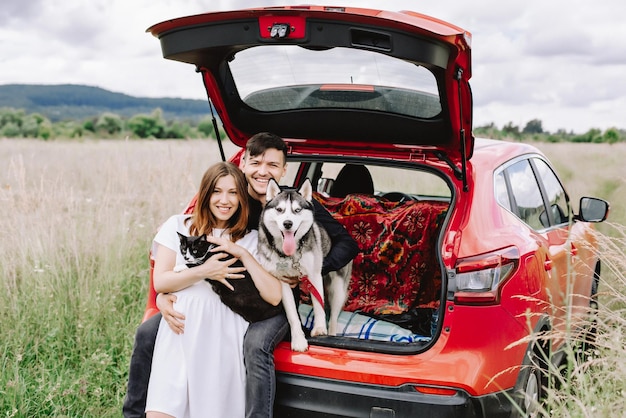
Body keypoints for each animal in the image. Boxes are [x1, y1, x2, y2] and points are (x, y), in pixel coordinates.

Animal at [255, 178, 352, 352]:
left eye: (297, 210)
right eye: (279, 209)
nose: (287, 223)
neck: (290, 255)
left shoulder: (313, 275)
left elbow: (318, 305)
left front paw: (319, 328)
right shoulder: (282, 281)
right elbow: (292, 314)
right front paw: (299, 339)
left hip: (337, 289)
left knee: (333, 316)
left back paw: (331, 332)